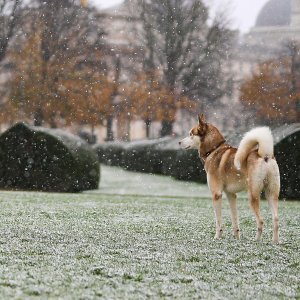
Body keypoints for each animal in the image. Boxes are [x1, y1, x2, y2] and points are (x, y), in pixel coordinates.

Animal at [179, 113, 280, 243]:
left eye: (191, 134)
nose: (179, 142)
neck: (214, 150)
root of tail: (265, 155)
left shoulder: (216, 194)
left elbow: (218, 222)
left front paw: (217, 237)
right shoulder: (231, 195)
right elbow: (235, 220)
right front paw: (237, 238)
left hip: (252, 195)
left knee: (261, 221)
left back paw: (256, 241)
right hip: (271, 194)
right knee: (276, 219)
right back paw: (275, 242)